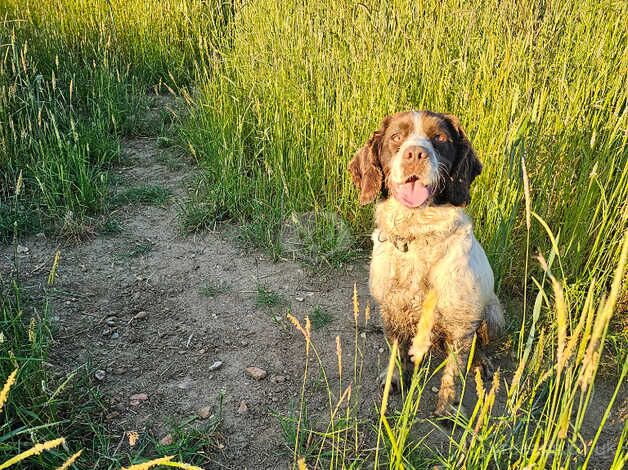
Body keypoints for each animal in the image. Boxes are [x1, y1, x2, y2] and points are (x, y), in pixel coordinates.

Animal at [348, 109, 506, 414]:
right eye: (396, 137)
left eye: (440, 138)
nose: (415, 154)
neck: (417, 236)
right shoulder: (391, 311)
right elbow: (396, 352)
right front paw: (395, 378)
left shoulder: (460, 322)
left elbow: (452, 372)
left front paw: (446, 408)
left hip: (494, 315)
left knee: (479, 344)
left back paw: (481, 362)